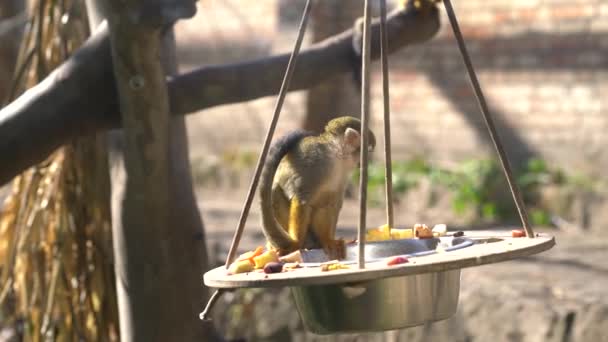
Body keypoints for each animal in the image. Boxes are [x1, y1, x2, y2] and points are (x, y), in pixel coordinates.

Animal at [258, 116, 376, 258]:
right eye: (367, 151)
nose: (366, 161)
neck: (337, 155)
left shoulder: (343, 172)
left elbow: (328, 204)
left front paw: (327, 240)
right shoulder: (315, 161)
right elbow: (302, 199)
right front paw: (296, 243)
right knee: (275, 190)